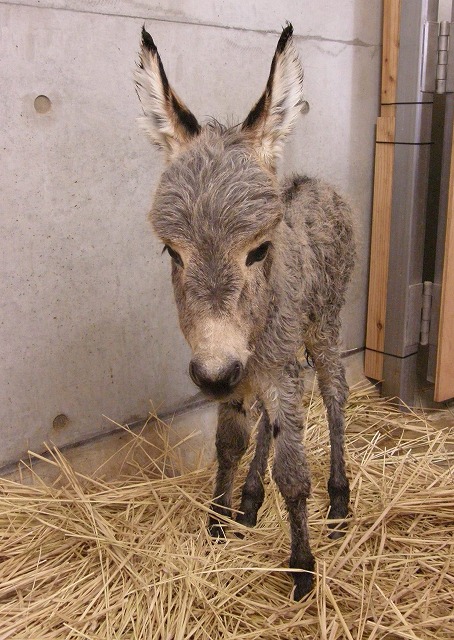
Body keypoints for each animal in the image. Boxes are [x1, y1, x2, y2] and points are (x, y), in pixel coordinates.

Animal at [135, 21, 354, 600]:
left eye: (259, 249)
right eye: (172, 252)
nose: (213, 375)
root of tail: (316, 183)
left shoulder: (275, 367)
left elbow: (293, 473)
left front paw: (302, 568)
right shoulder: (238, 371)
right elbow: (230, 444)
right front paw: (219, 521)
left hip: (324, 327)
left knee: (334, 394)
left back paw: (339, 498)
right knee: (267, 424)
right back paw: (251, 502)